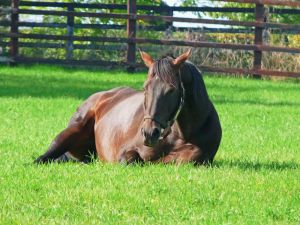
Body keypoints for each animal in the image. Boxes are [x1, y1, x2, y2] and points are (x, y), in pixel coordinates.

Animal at [35, 49, 223, 165]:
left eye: (172, 90)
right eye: (145, 87)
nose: (149, 133)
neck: (180, 134)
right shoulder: (127, 152)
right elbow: (130, 159)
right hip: (71, 131)